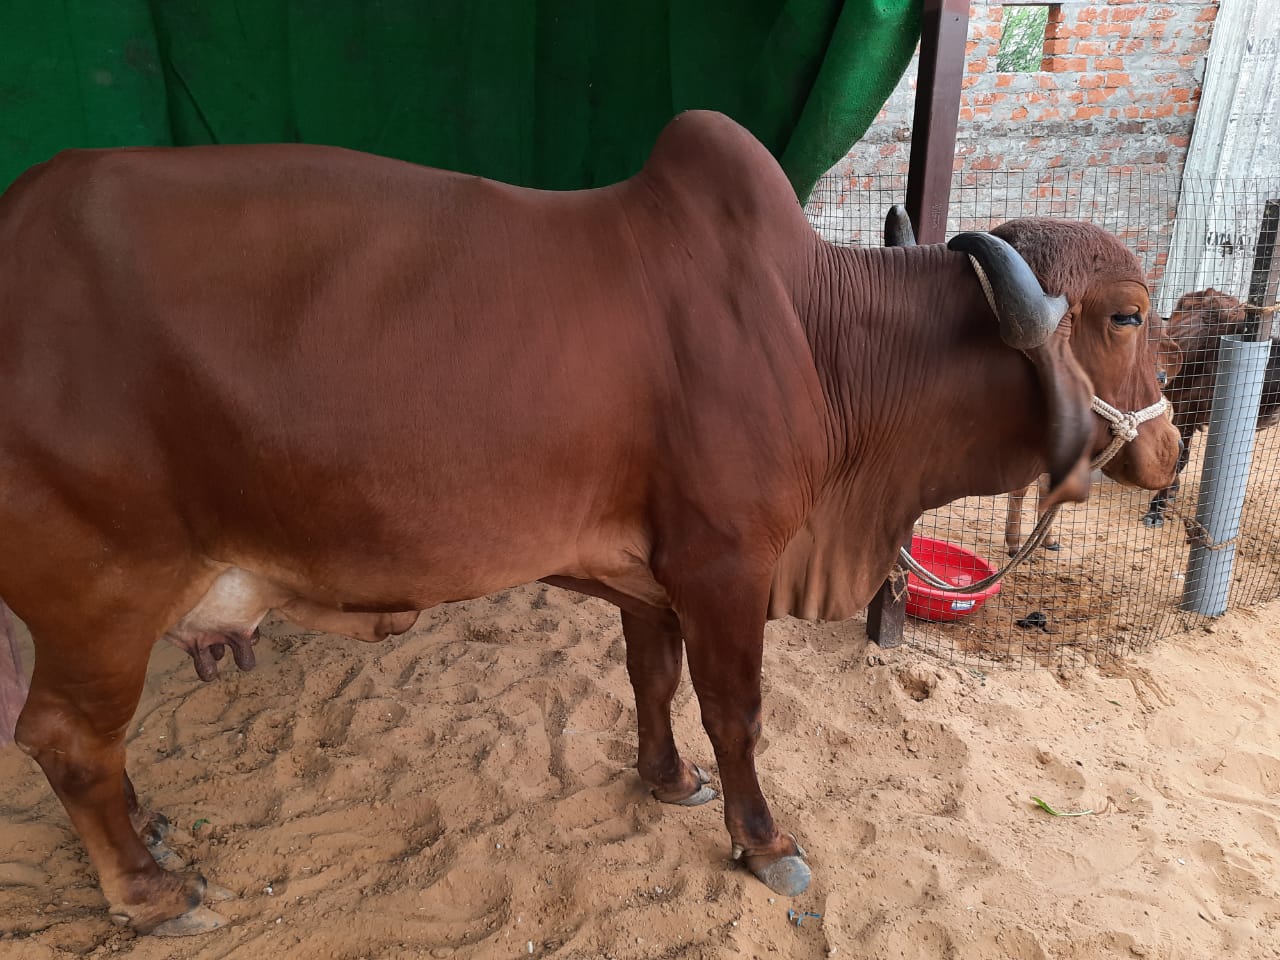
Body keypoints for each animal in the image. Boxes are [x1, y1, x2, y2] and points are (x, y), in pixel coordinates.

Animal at [0, 110, 1179, 935]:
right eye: (1125, 316)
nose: (1170, 449)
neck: (818, 336)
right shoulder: (726, 564)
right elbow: (737, 713)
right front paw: (762, 841)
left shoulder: (650, 574)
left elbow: (651, 682)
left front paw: (665, 780)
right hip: (100, 591)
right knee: (64, 740)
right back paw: (151, 892)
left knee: (91, 747)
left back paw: (151, 832)